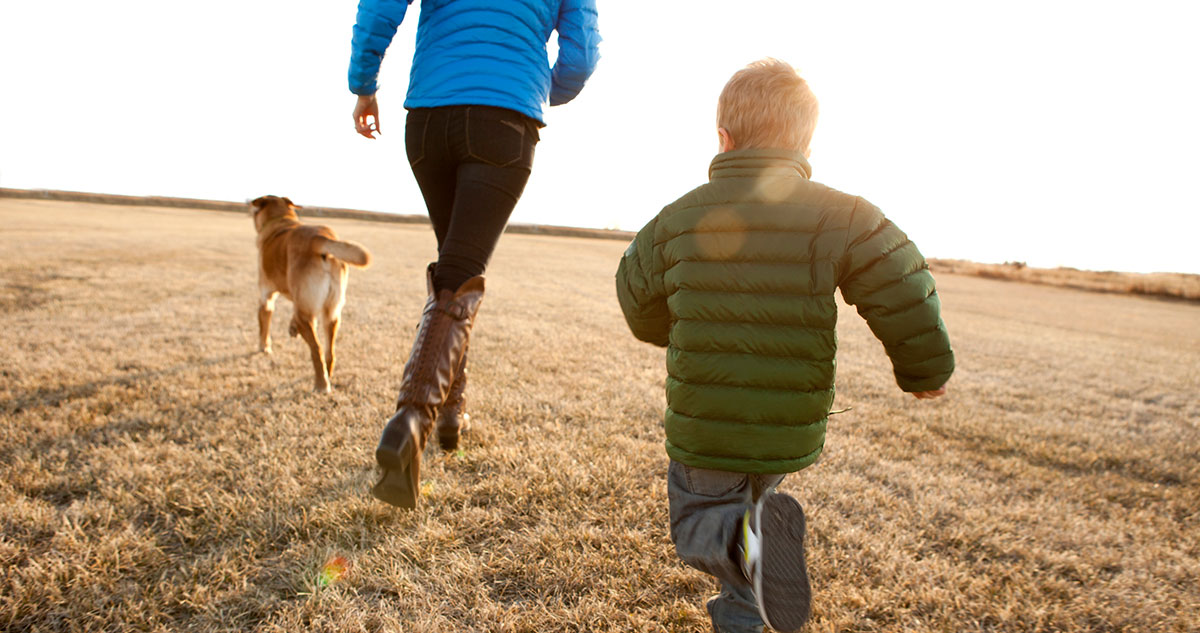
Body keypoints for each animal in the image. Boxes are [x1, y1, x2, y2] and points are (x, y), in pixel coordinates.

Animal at [248, 194, 369, 390]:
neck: (281, 220)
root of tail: (320, 238)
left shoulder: (266, 297)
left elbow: (263, 326)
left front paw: (264, 348)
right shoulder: (301, 299)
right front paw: (291, 327)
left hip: (307, 314)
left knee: (316, 349)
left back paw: (321, 385)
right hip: (331, 312)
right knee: (329, 351)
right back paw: (327, 376)